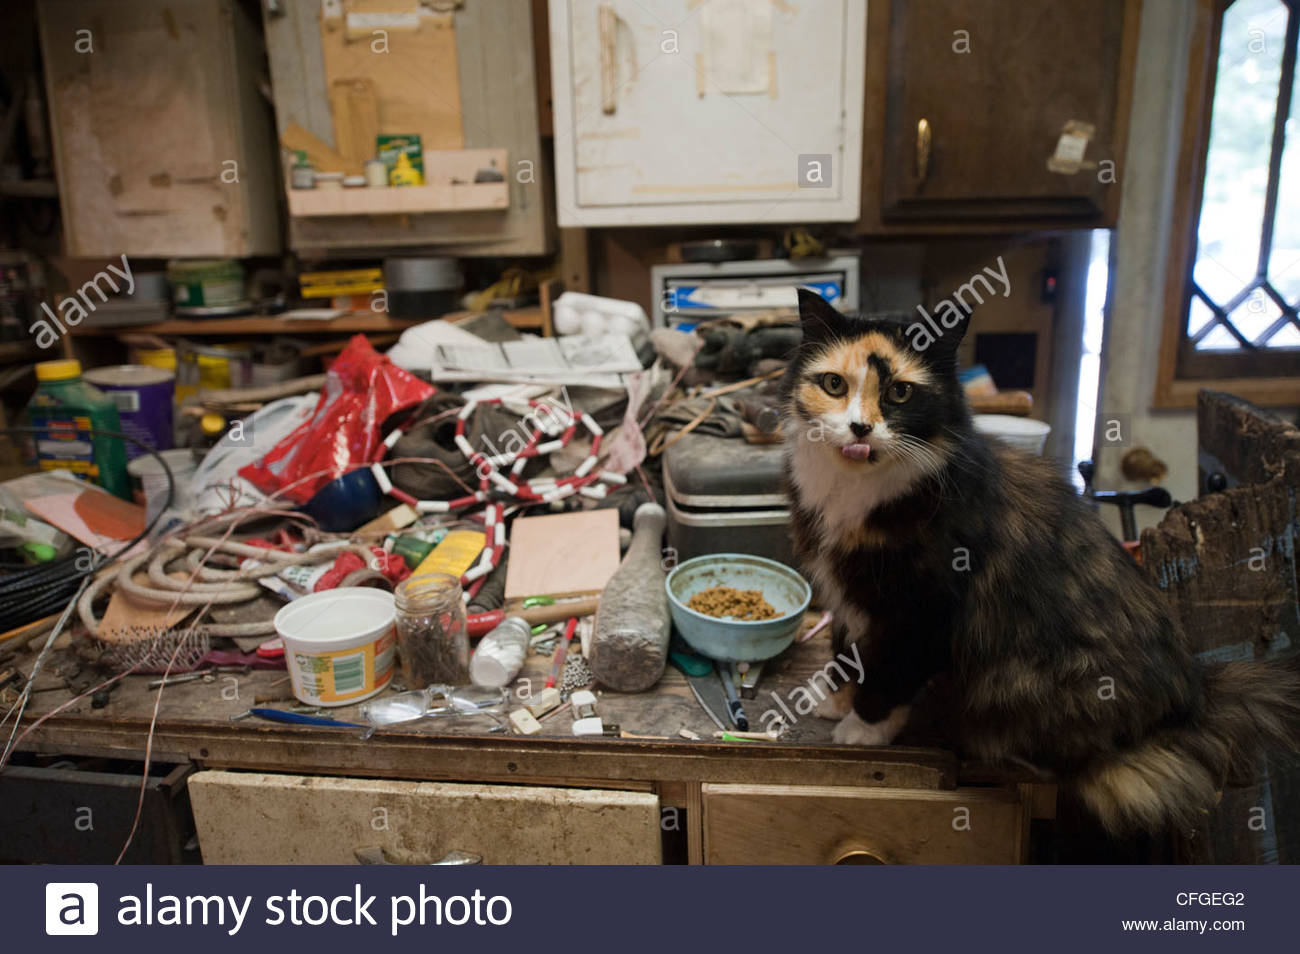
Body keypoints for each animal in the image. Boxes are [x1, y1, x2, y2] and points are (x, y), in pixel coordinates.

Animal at [780, 287, 1300, 831]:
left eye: (899, 394)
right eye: (834, 385)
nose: (860, 428)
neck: (855, 493)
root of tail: (1194, 698)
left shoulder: (924, 608)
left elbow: (889, 672)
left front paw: (863, 729)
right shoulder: (848, 594)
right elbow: (846, 654)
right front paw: (836, 702)